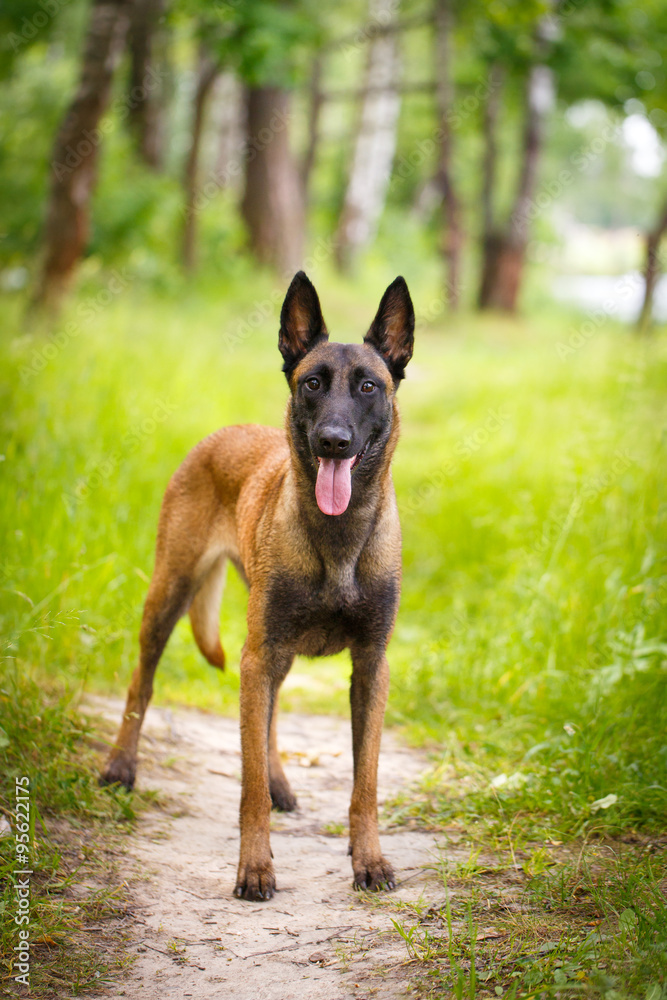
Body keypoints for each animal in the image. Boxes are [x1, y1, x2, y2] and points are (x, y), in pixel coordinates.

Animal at [101, 270, 414, 904]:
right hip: (172, 598)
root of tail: (223, 433)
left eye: (369, 386)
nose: (333, 441)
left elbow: (365, 782)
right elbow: (246, 788)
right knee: (142, 684)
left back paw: (280, 782)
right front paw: (254, 867)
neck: (338, 537)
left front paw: (368, 859)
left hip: (275, 650)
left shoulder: (370, 665)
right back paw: (122, 767)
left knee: (267, 719)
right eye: (312, 383)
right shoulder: (257, 655)